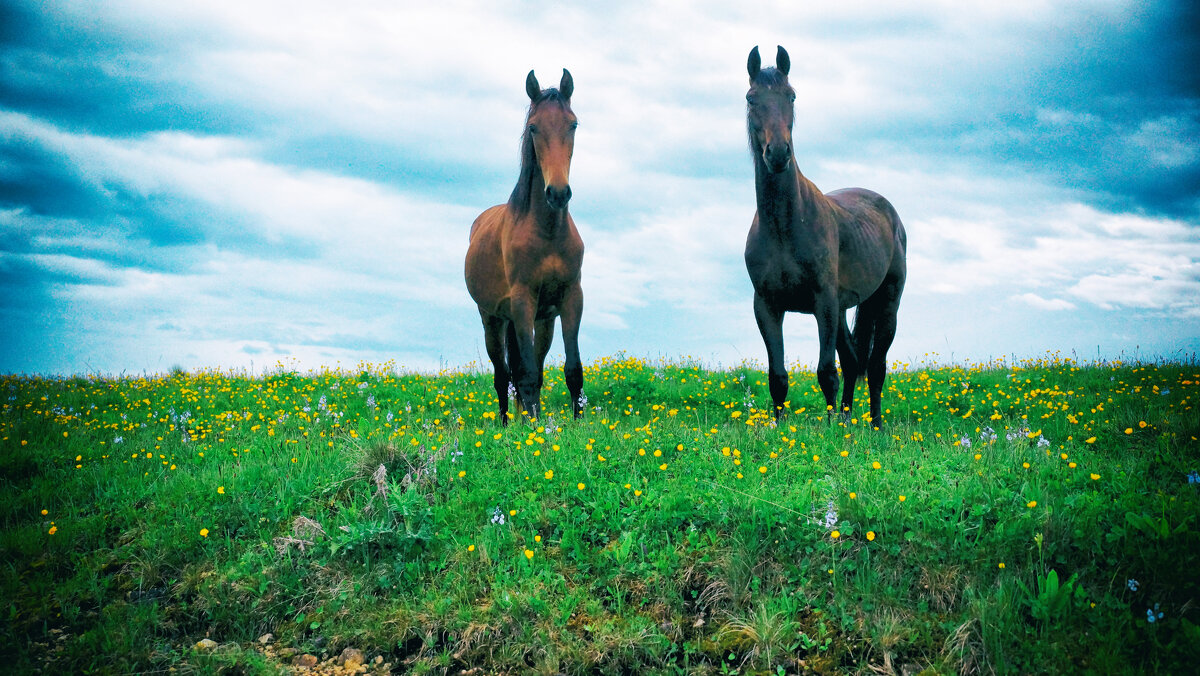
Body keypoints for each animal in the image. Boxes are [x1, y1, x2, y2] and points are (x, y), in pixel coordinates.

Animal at [463, 70, 585, 427]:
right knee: (503, 375)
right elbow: (526, 374)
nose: (557, 193)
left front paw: (579, 425)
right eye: (534, 127)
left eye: (572, 124)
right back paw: (507, 424)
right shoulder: (522, 301)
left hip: (542, 321)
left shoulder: (571, 298)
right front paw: (533, 430)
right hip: (493, 319)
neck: (548, 233)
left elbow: (571, 370)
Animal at [739, 46, 907, 427]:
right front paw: (783, 429)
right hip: (845, 309)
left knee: (875, 367)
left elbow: (826, 372)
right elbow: (778, 377)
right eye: (752, 98)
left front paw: (830, 433)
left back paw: (874, 426)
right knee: (854, 361)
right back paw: (847, 421)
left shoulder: (823, 303)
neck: (784, 227)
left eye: (791, 95)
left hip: (886, 302)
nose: (778, 153)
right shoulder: (767, 306)